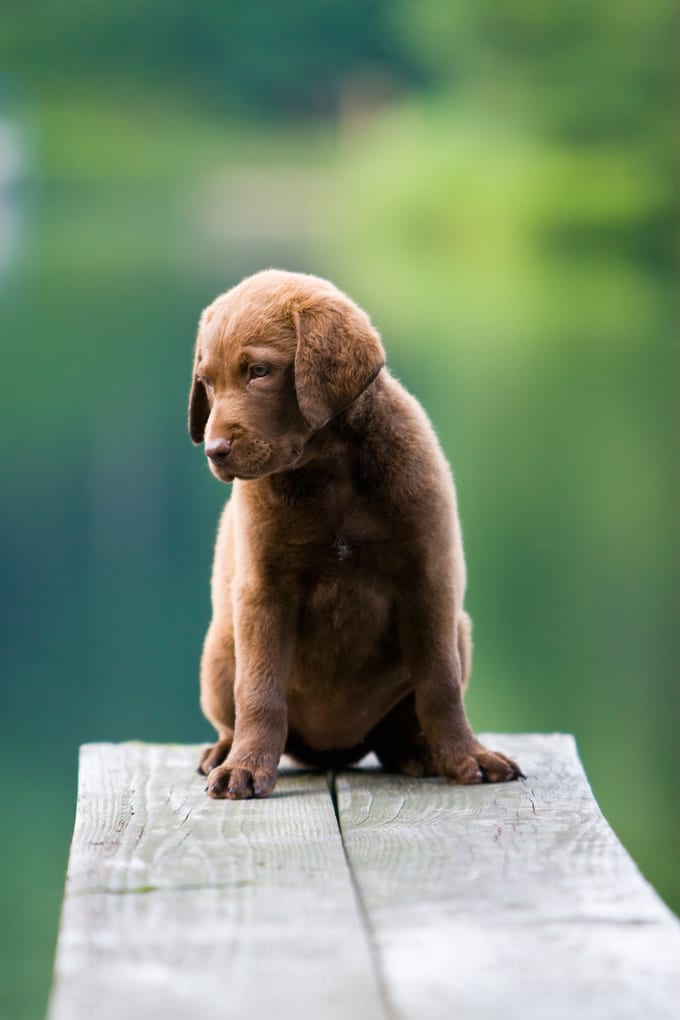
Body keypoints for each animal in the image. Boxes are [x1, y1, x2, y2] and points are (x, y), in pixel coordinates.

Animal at [188, 271, 526, 795]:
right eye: (205, 383)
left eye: (259, 371)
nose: (214, 450)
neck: (328, 473)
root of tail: (334, 750)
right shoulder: (263, 590)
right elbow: (259, 690)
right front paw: (246, 767)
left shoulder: (428, 578)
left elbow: (441, 684)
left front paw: (466, 756)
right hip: (219, 649)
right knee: (236, 711)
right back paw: (224, 751)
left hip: (459, 630)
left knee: (399, 728)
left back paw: (420, 751)